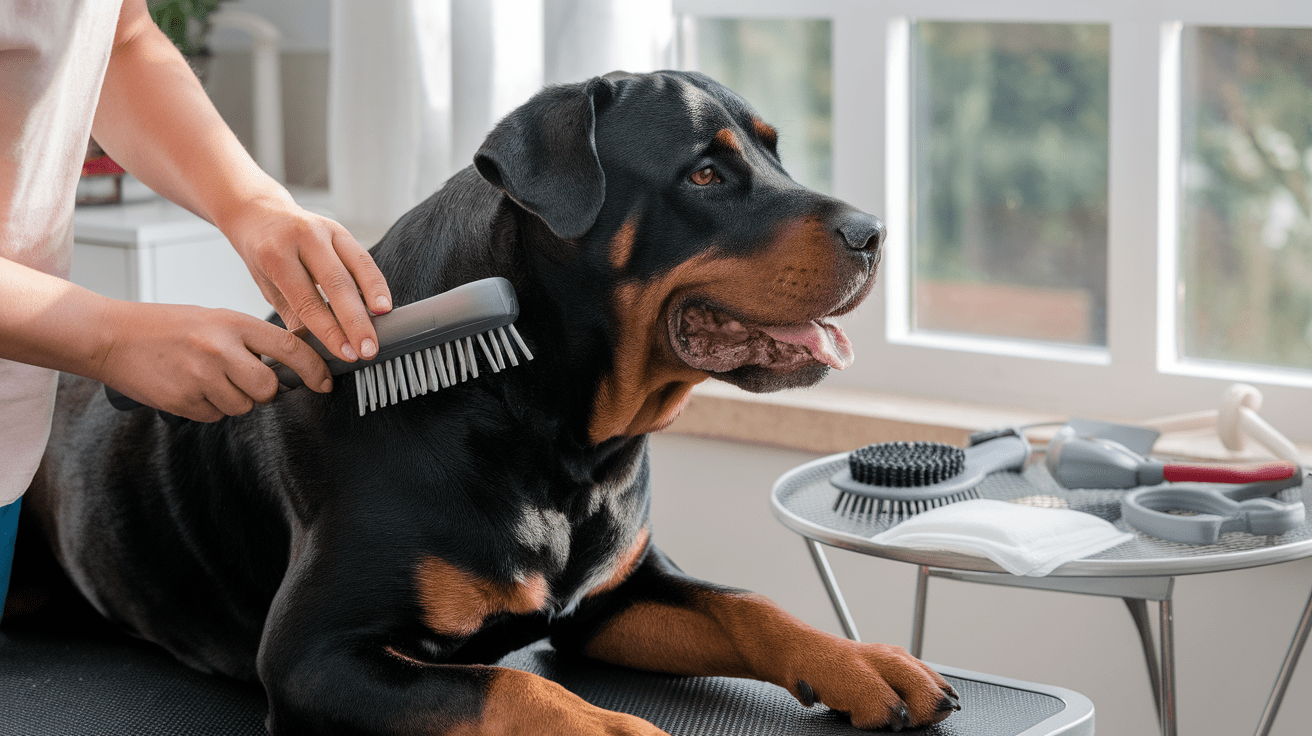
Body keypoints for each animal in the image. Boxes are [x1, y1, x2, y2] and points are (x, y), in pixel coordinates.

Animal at [15, 70, 960, 734]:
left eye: (773, 154)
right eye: (703, 173)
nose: (874, 233)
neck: (558, 434)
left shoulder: (611, 597)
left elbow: (745, 604)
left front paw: (863, 661)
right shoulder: (313, 659)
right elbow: (509, 689)